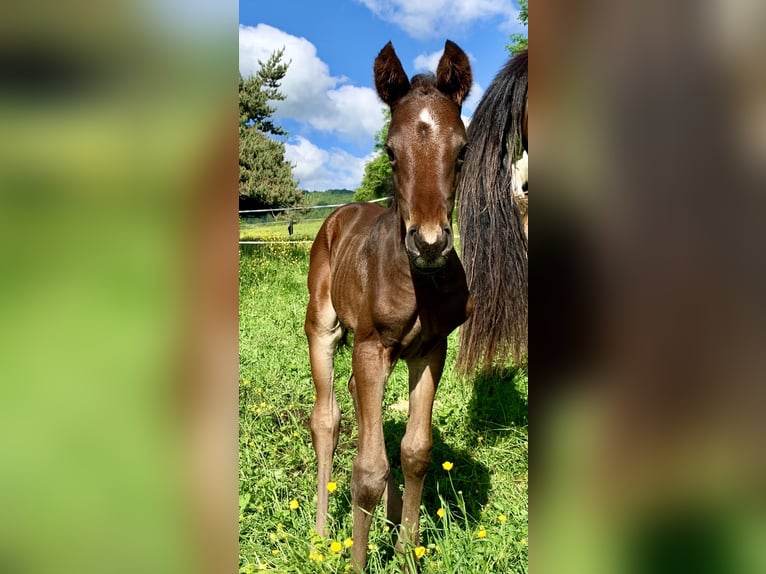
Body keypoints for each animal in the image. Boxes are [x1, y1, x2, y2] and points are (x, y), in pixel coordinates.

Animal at [304, 40, 474, 572]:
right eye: (390, 150)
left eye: (462, 150)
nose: (429, 242)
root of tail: (342, 213)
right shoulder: (372, 344)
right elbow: (367, 469)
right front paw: (360, 560)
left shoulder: (430, 349)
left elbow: (414, 451)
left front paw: (405, 552)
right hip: (325, 328)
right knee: (328, 417)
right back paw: (321, 532)